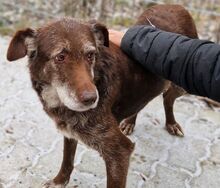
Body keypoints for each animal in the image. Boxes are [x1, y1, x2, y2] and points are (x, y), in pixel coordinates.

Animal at [6, 4, 199, 188]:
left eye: (90, 55)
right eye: (60, 57)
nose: (92, 99)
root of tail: (176, 6)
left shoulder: (119, 152)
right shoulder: (69, 131)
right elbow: (67, 161)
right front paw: (59, 181)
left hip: (184, 82)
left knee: (167, 98)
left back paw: (171, 123)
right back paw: (130, 122)